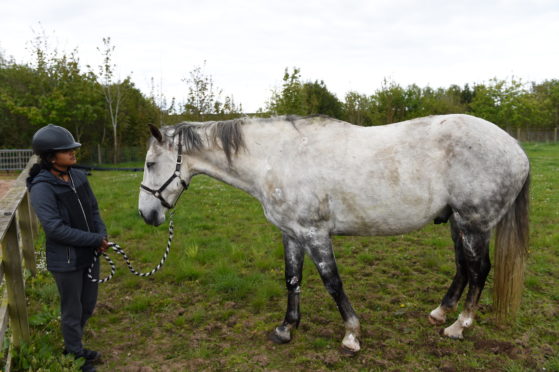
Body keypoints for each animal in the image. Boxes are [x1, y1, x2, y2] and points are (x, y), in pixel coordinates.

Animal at [138, 115, 532, 354]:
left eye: (150, 163)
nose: (147, 215)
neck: (277, 158)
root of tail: (517, 150)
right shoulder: (292, 233)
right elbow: (292, 279)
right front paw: (286, 328)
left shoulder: (314, 233)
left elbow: (332, 282)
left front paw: (351, 334)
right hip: (457, 223)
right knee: (464, 268)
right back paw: (440, 312)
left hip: (473, 224)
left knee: (479, 270)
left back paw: (459, 326)